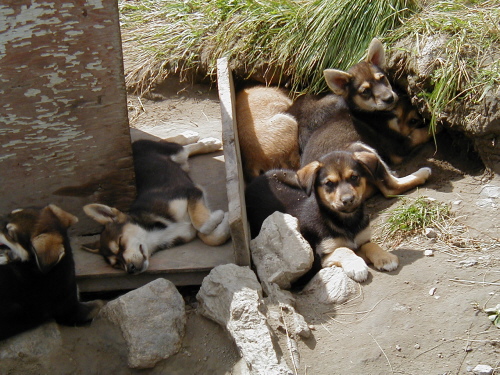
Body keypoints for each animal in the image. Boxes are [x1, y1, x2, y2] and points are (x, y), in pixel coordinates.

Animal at [245, 148, 398, 284]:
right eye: (329, 183)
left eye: (354, 177)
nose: (348, 200)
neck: (346, 222)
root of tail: (255, 181)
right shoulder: (317, 259)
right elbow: (343, 249)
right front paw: (356, 265)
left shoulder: (362, 239)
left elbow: (370, 244)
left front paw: (385, 257)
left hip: (291, 177)